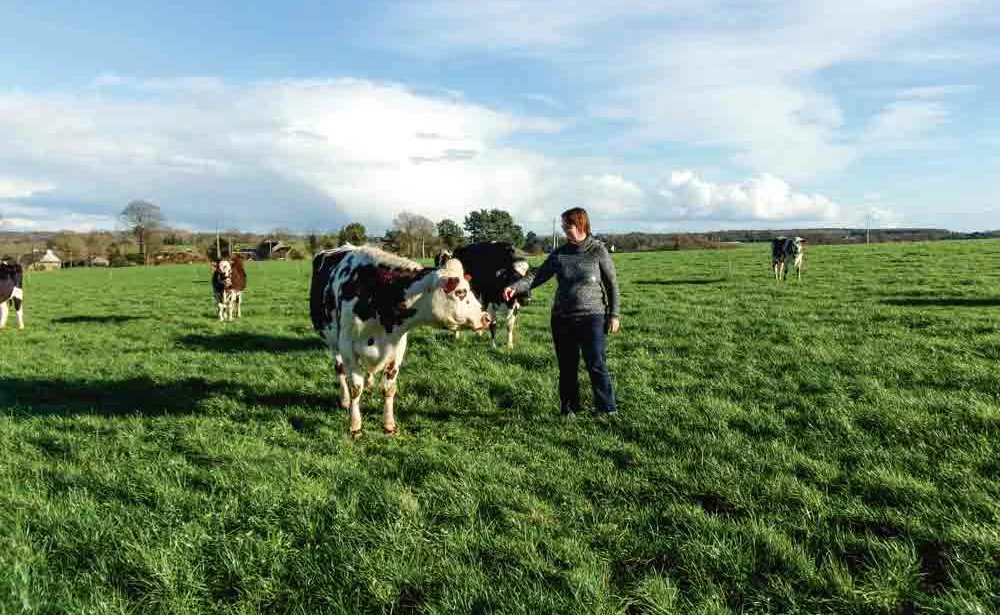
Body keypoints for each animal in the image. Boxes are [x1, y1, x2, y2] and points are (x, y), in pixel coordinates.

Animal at [308, 243, 488, 440]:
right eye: (460, 292)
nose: (486, 318)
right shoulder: (348, 348)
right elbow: (356, 387)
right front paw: (355, 427)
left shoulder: (397, 347)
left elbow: (388, 388)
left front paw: (389, 426)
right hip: (333, 343)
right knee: (340, 370)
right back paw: (345, 400)